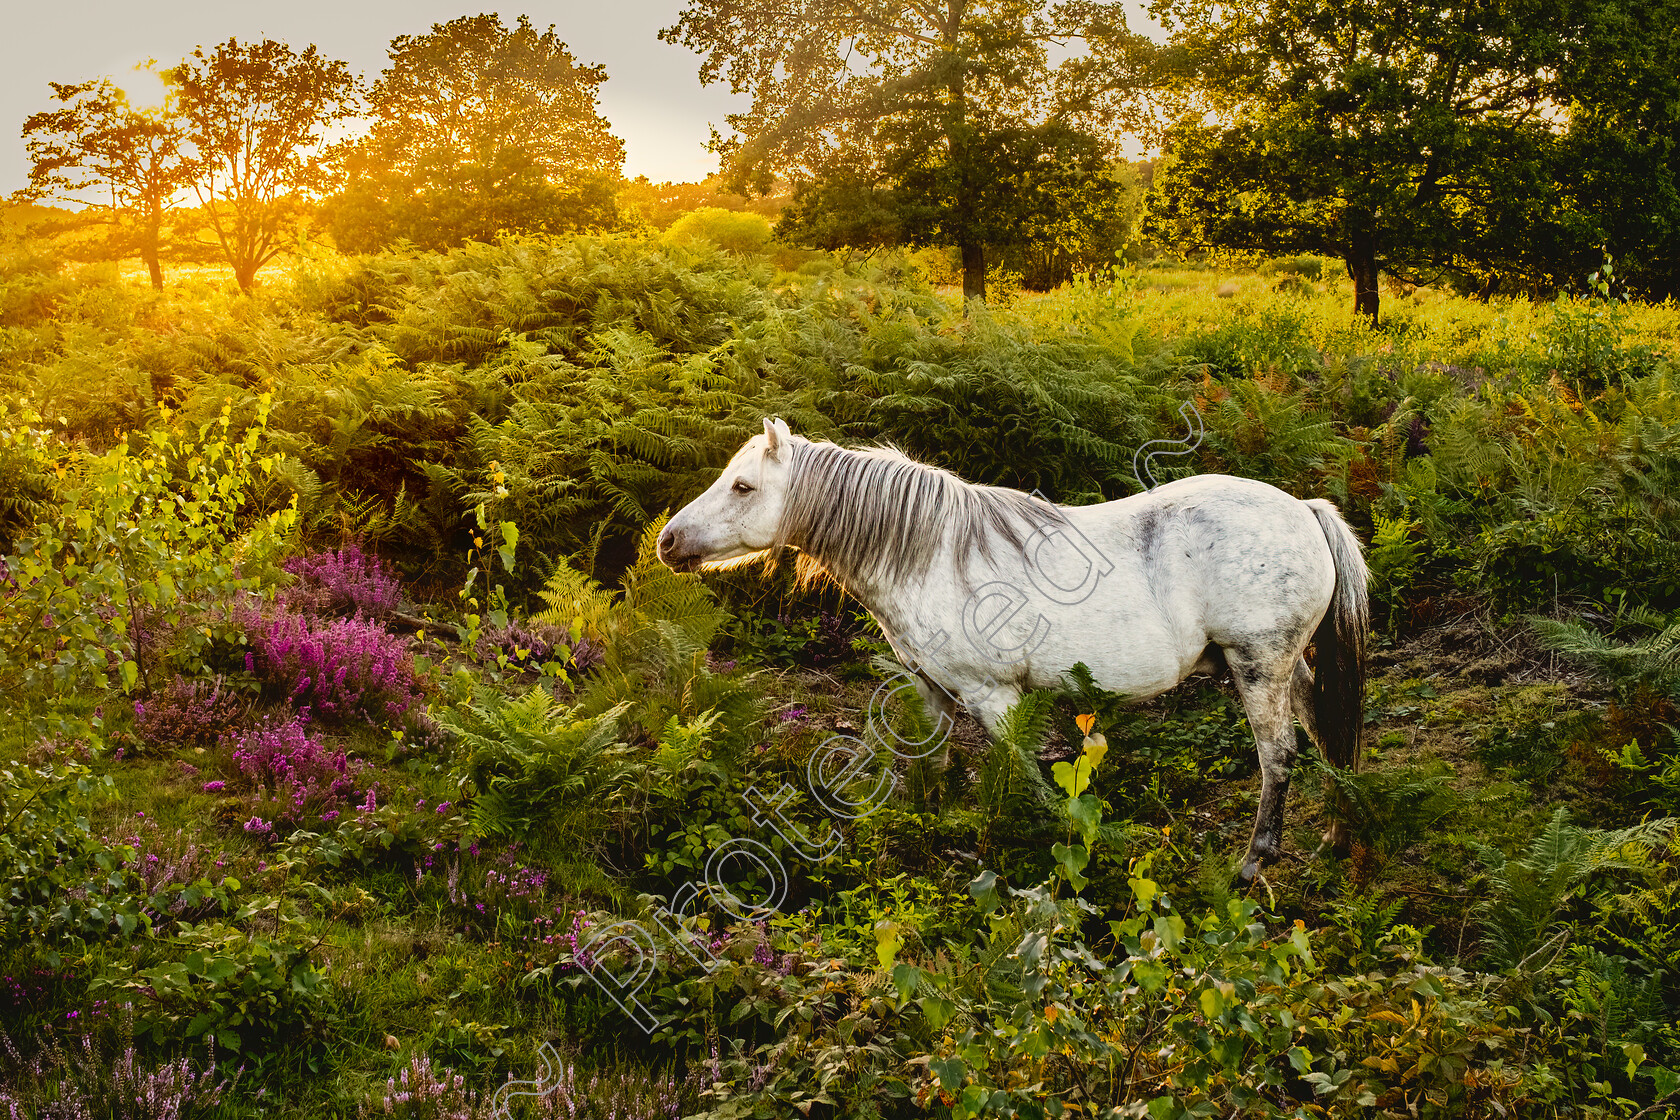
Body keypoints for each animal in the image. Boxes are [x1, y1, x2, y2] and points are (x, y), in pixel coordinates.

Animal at [655, 416, 1364, 879]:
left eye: (743, 487)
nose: (667, 540)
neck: (930, 555)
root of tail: (1304, 510)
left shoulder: (993, 696)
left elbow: (1021, 776)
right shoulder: (929, 690)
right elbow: (934, 769)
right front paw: (931, 835)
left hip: (1257, 665)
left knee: (1278, 754)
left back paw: (1254, 862)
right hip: (1282, 667)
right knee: (1325, 730)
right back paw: (1335, 834)